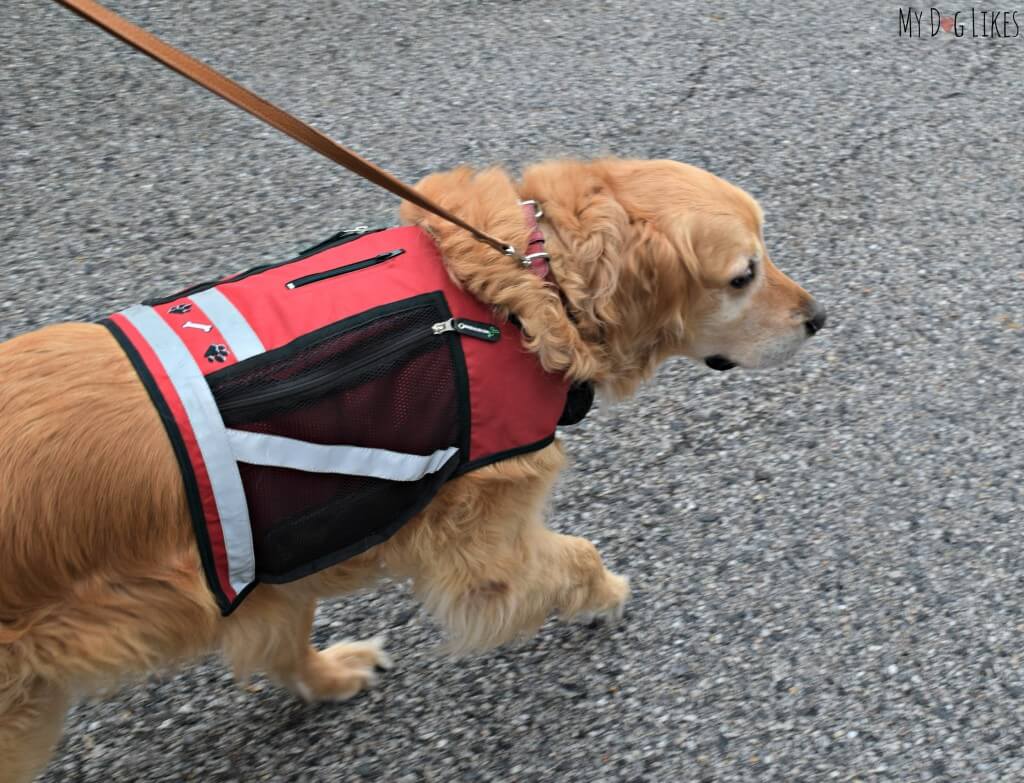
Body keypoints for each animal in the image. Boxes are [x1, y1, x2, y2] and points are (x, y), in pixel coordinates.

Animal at [0, 155, 823, 777]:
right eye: (744, 275)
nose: (820, 318)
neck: (526, 286)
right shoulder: (482, 550)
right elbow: (574, 556)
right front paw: (603, 595)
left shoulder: (277, 553)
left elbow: (282, 632)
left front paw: (327, 677)